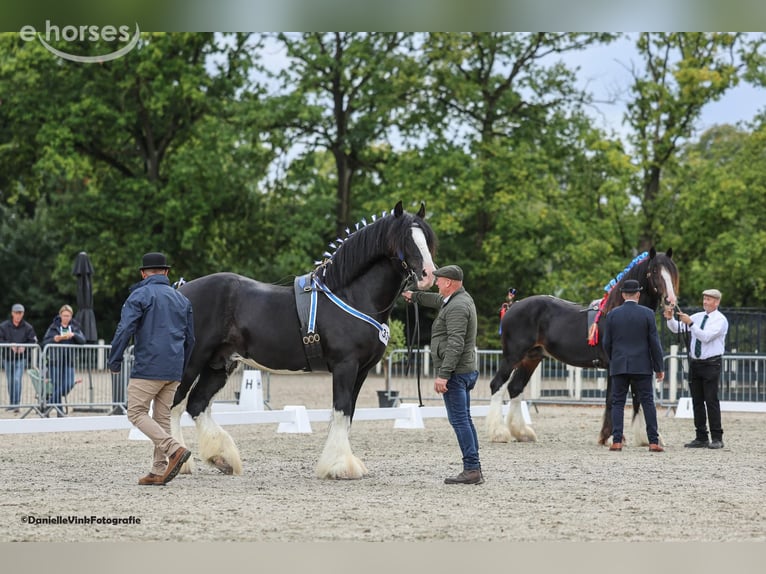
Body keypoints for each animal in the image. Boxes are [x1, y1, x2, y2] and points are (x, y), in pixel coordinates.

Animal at [169, 201, 437, 479]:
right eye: (406, 239)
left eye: (426, 239)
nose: (429, 275)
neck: (351, 296)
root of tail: (181, 289)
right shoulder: (345, 366)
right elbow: (341, 410)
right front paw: (340, 466)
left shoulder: (361, 370)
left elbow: (349, 413)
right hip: (192, 361)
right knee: (173, 404)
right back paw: (177, 461)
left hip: (219, 364)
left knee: (196, 404)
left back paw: (221, 458)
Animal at [486, 247, 678, 446]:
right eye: (654, 271)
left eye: (672, 271)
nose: (670, 300)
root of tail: (512, 306)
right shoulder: (614, 367)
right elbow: (613, 399)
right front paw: (610, 437)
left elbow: (637, 398)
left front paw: (645, 438)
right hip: (512, 357)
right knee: (497, 385)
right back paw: (499, 433)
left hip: (531, 358)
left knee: (515, 388)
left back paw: (522, 433)